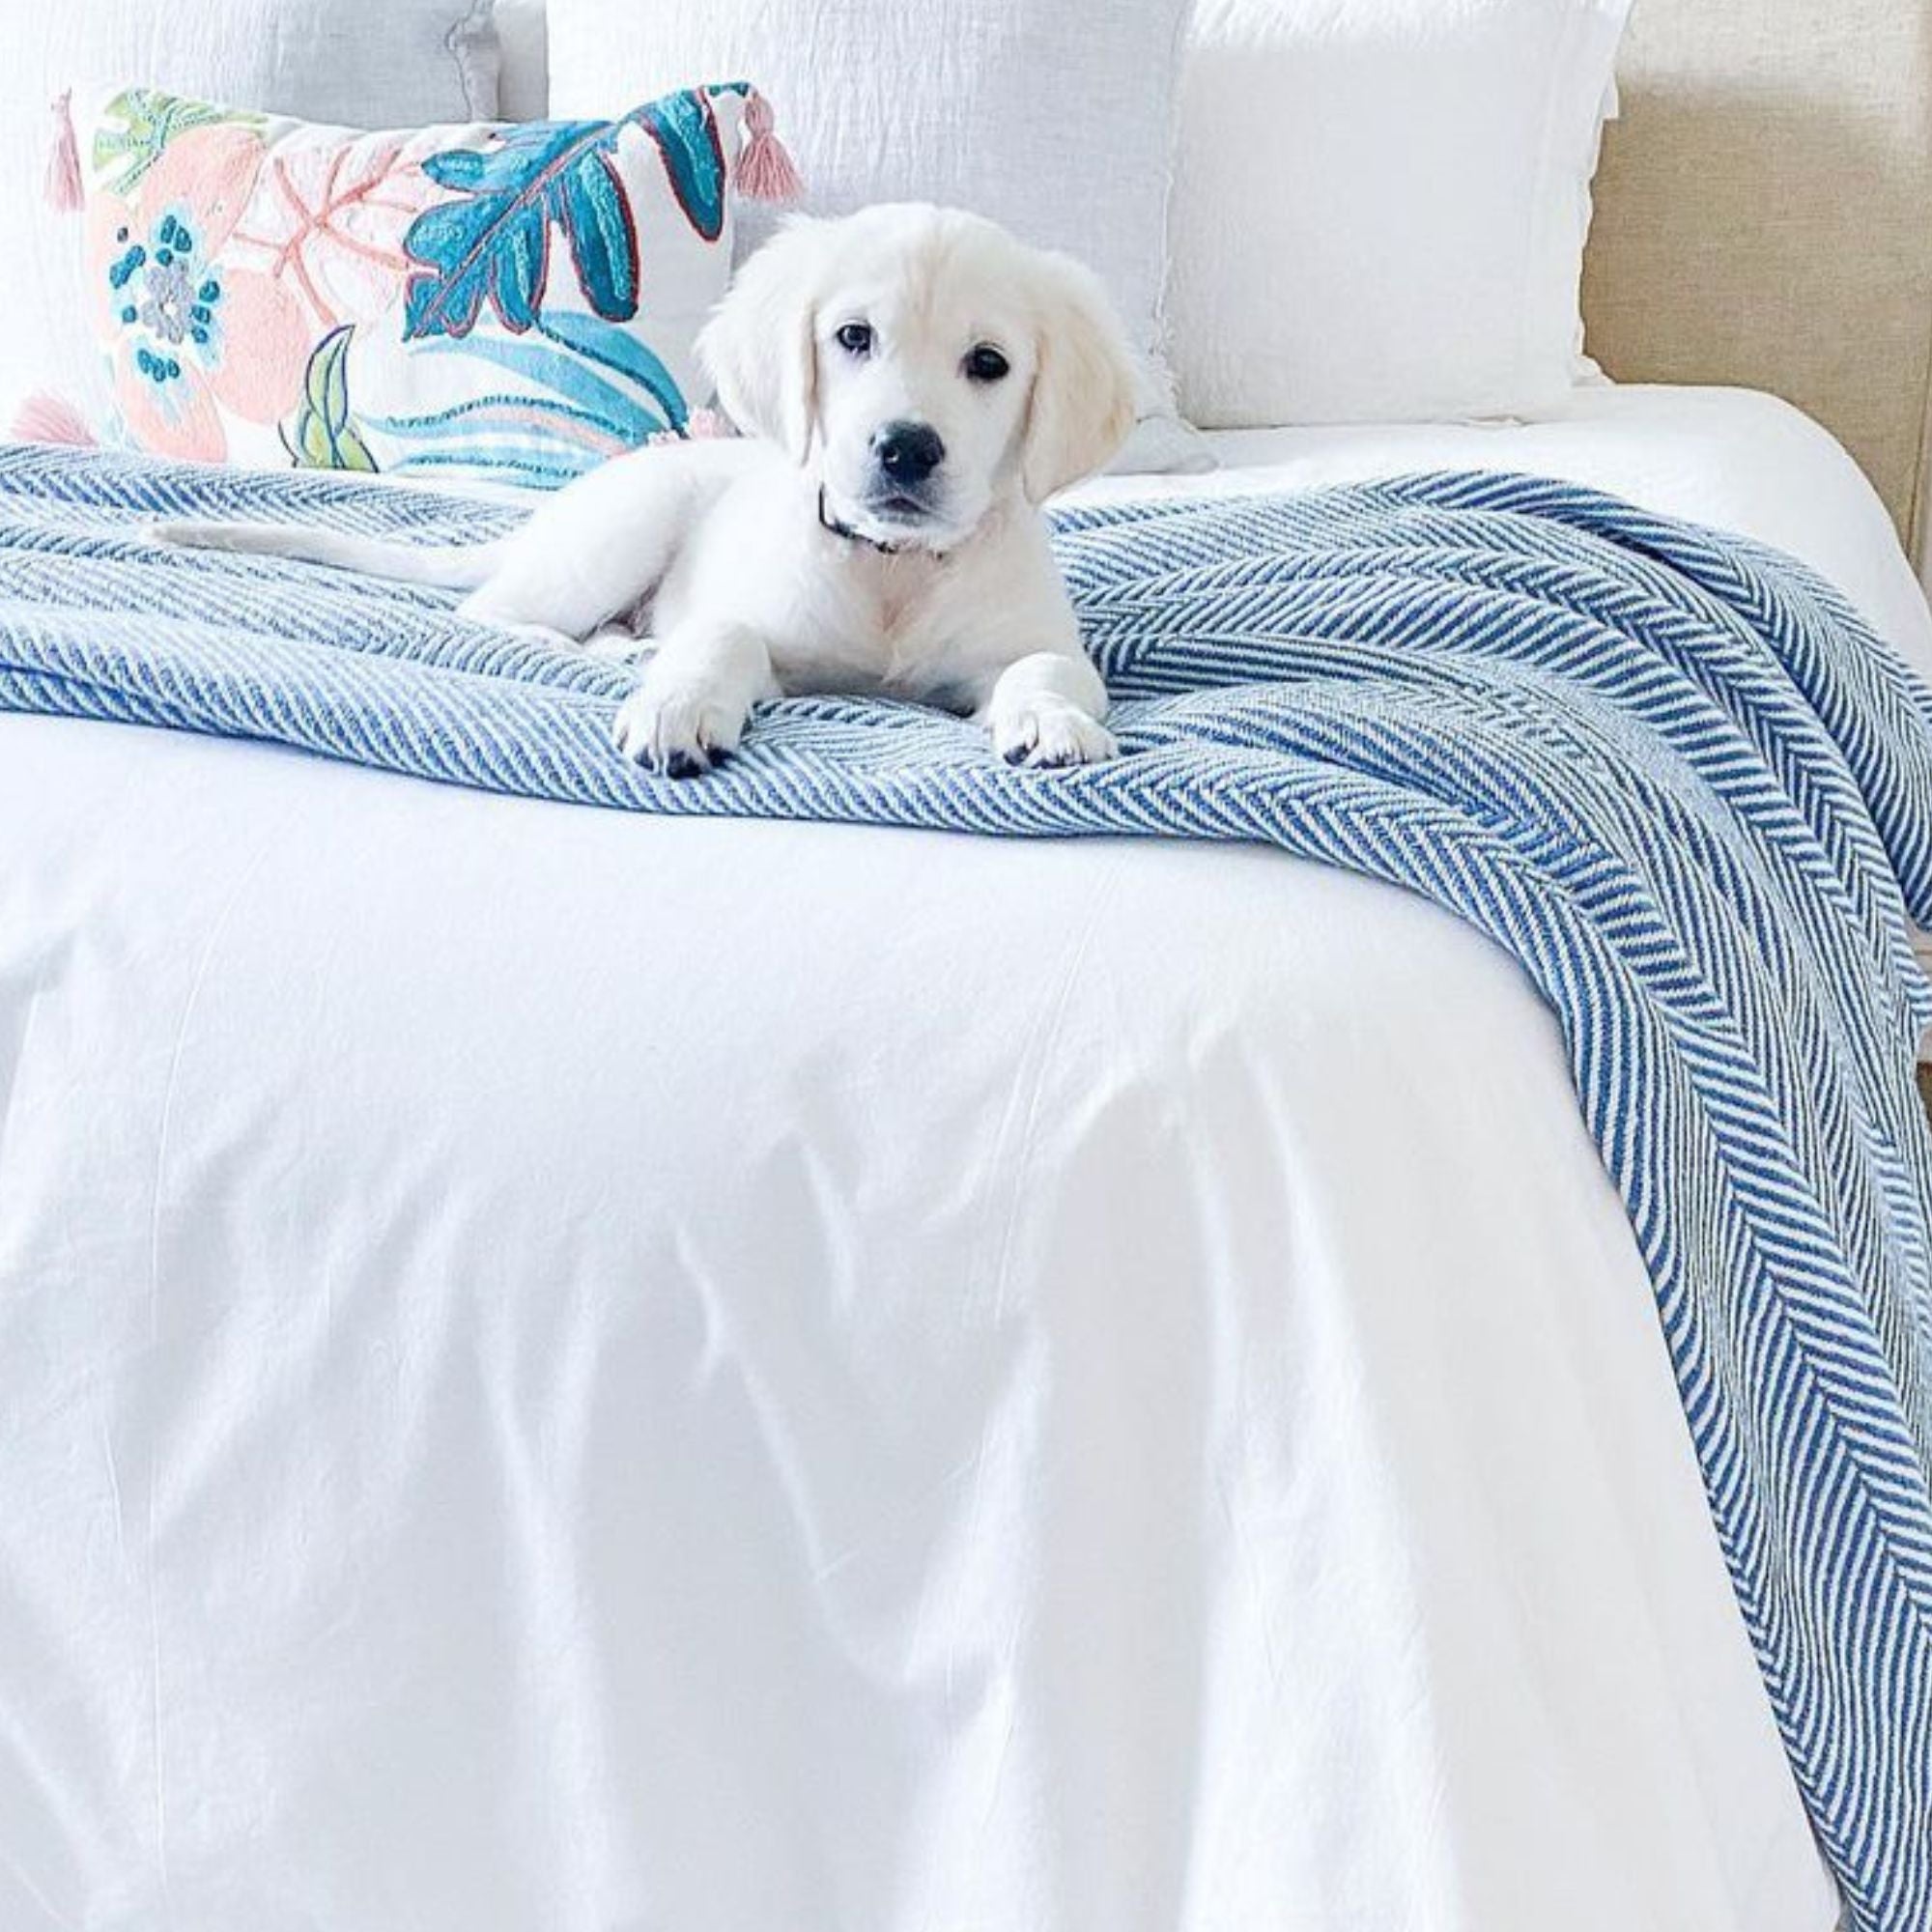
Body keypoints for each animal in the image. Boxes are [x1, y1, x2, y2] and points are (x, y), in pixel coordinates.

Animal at [166, 206, 1136, 777]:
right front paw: (681, 705)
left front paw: (1049, 722)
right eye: (854, 337)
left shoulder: (1027, 645)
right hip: (618, 534)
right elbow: (721, 635)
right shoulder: (756, 620)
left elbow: (1047, 668)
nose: (904, 449)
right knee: (494, 617)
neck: (892, 569)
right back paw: (610, 653)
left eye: (989, 363)